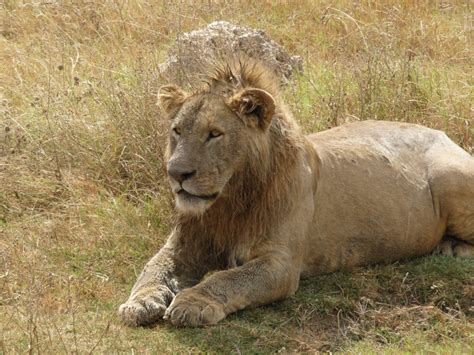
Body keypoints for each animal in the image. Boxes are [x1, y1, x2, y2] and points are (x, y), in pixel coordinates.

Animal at [117, 57, 470, 328]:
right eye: (177, 131)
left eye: (214, 134)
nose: (176, 173)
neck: (229, 201)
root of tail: (446, 136)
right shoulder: (183, 245)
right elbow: (152, 268)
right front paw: (139, 302)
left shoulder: (281, 264)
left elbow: (227, 279)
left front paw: (191, 302)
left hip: (449, 176)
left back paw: (454, 249)